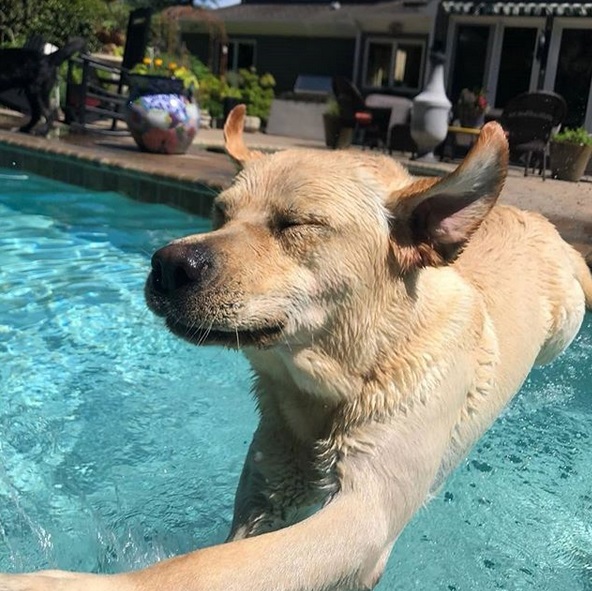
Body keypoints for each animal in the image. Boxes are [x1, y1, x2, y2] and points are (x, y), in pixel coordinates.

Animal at [1, 106, 592, 591]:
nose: (168, 265)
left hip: (564, 324)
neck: (339, 380)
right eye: (219, 213)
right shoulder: (266, 489)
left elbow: (203, 569)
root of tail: (534, 217)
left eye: (297, 224)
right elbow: (232, 550)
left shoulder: (364, 510)